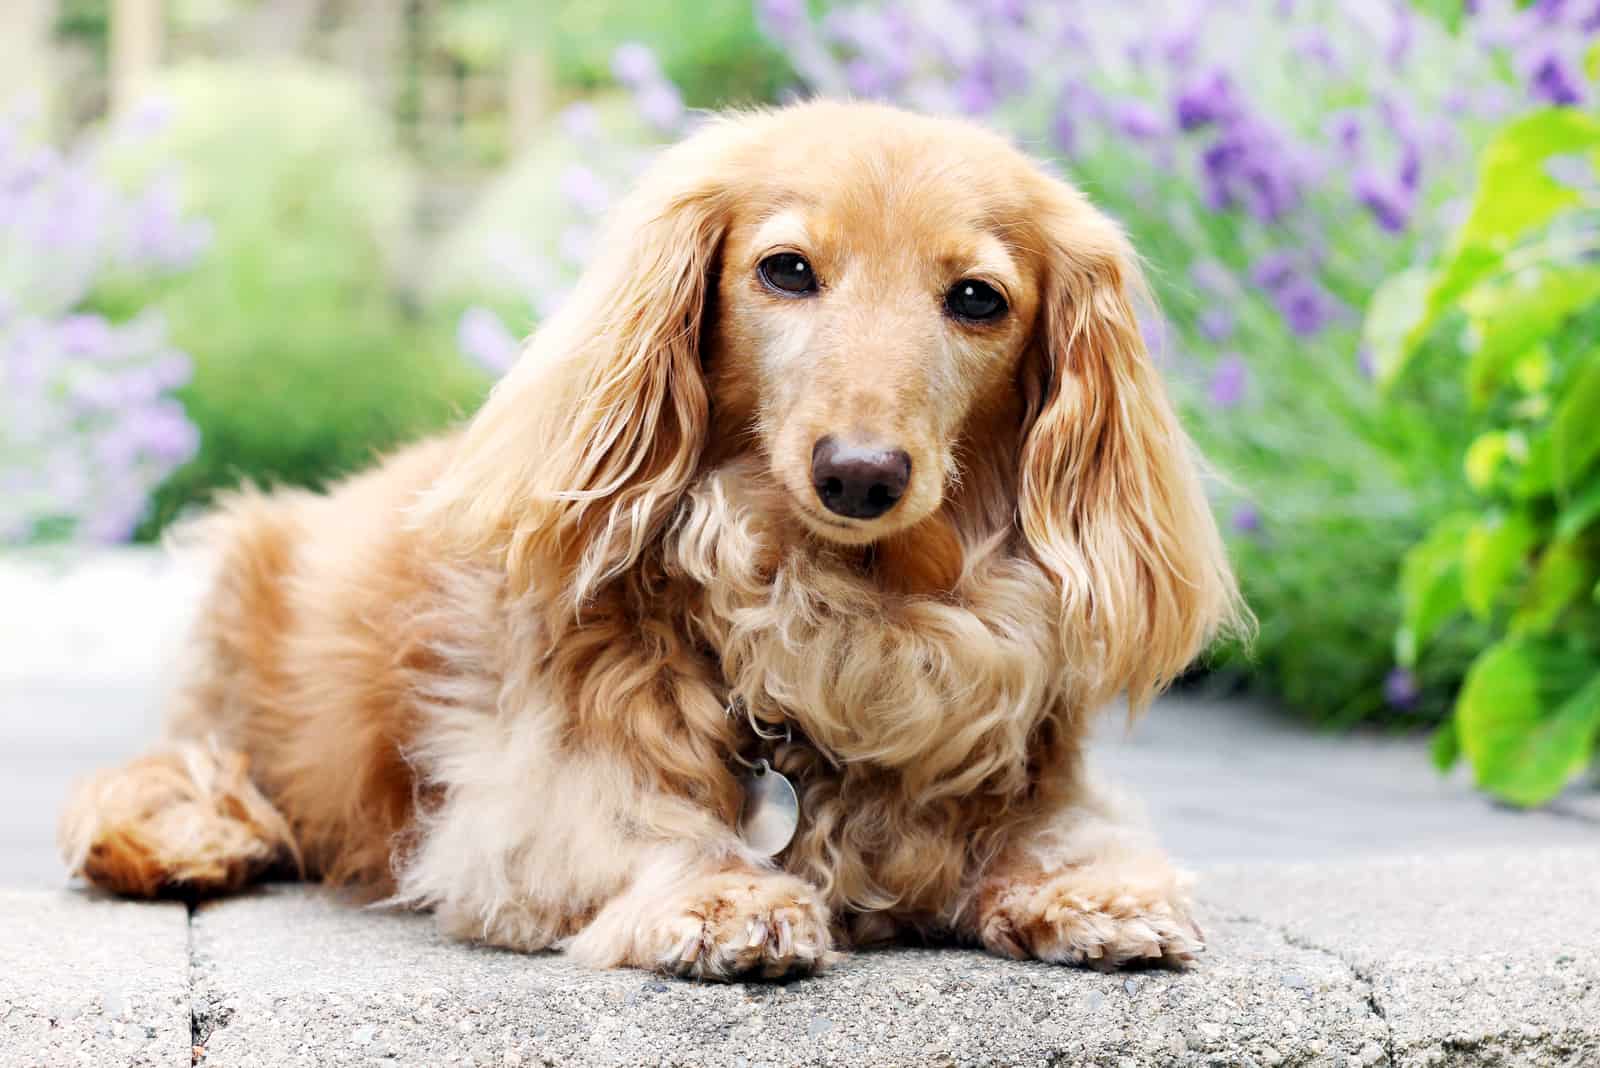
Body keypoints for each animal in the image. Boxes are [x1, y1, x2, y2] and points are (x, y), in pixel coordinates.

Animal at [59, 99, 1235, 978]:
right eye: (787, 269)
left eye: (978, 298)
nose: (859, 475)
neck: (848, 604)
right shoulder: (529, 806)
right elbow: (634, 827)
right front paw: (722, 896)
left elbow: (1050, 829)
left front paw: (1087, 889)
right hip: (235, 614)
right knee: (173, 772)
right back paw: (192, 840)